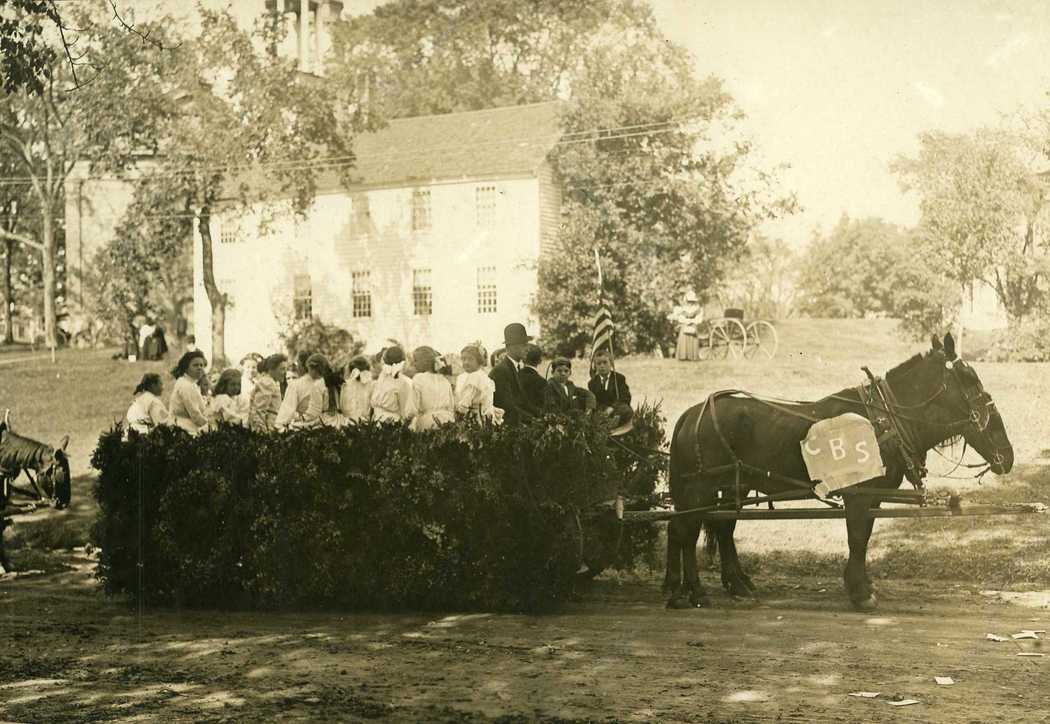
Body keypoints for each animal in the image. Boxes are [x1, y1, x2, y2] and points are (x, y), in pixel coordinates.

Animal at [663, 333, 1016, 608]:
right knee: (684, 530)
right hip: (700, 489)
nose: (1007, 454)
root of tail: (691, 414)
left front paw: (861, 584)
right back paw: (691, 592)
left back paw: (725, 585)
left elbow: (865, 536)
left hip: (732, 486)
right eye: (970, 381)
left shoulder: (873, 495)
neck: (883, 419)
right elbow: (857, 537)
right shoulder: (858, 495)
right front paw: (859, 591)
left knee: (716, 529)